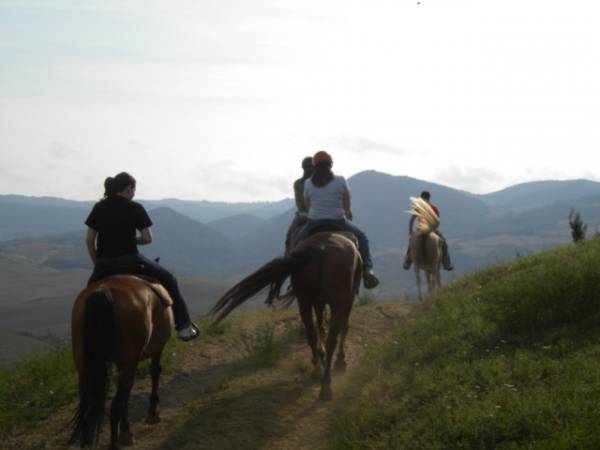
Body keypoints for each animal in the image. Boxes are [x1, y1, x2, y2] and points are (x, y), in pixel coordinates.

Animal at [70, 276, 175, 448]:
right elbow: (155, 372)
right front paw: (153, 413)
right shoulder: (156, 349)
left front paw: (126, 432)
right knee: (115, 406)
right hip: (129, 364)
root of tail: (103, 291)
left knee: (89, 409)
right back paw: (113, 444)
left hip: (84, 367)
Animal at [211, 230, 360, 400]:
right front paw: (341, 361)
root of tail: (322, 247)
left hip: (304, 300)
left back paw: (317, 370)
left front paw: (322, 354)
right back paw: (326, 385)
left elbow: (321, 327)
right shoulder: (347, 299)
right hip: (334, 302)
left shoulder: (318, 301)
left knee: (311, 333)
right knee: (331, 339)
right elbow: (343, 327)